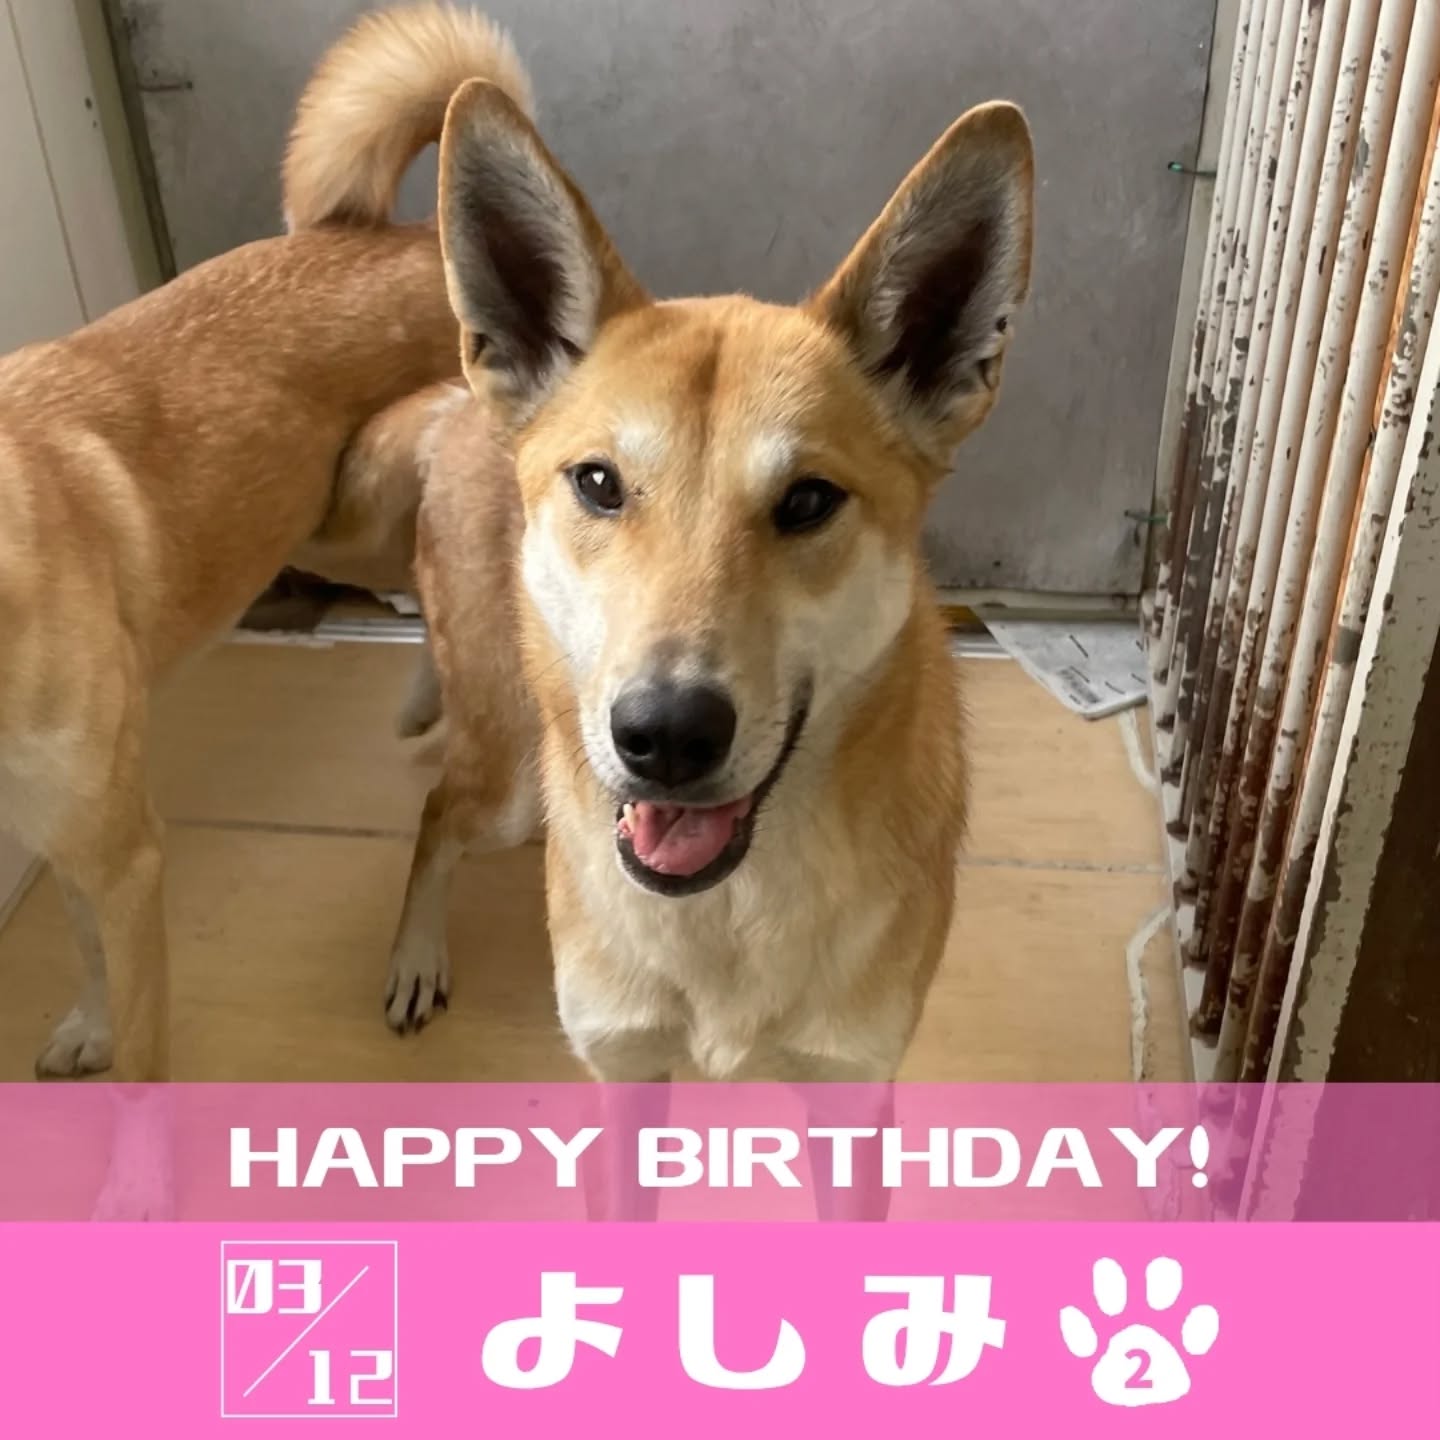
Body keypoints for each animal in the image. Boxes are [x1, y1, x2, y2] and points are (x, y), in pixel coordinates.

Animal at [0, 4, 533, 1082]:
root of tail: (419, 236)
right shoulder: (68, 826)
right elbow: (81, 939)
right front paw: (87, 1023)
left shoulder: (120, 851)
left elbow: (140, 1054)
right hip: (321, 527)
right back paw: (428, 700)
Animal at [385, 69, 1034, 1119]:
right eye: (599, 483)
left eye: (808, 500)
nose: (666, 737)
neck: (727, 909)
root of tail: (463, 397)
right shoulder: (623, 1069)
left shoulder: (851, 1093)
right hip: (507, 774)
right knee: (442, 808)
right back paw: (414, 957)